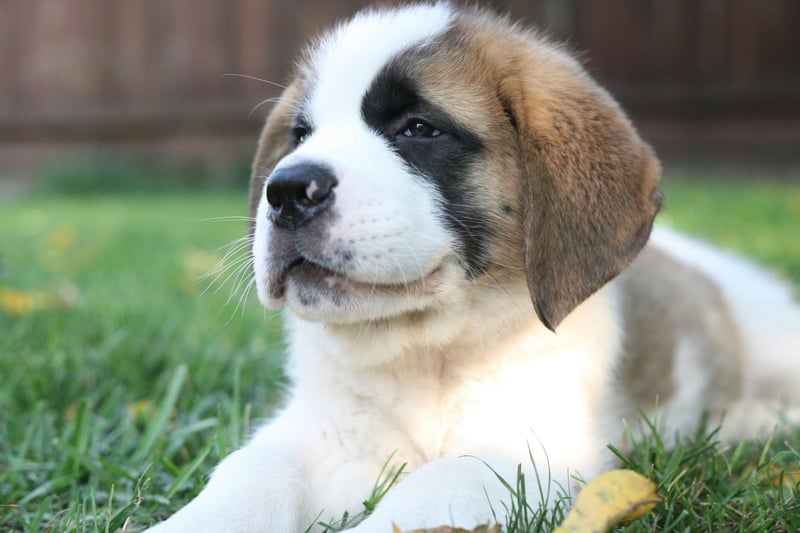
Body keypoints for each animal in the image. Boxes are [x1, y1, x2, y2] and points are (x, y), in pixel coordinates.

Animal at [145, 4, 800, 532]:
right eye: (300, 135)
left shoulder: (520, 458)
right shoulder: (319, 432)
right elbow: (248, 471)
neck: (425, 355)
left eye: (419, 129)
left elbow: (433, 488)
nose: (283, 192)